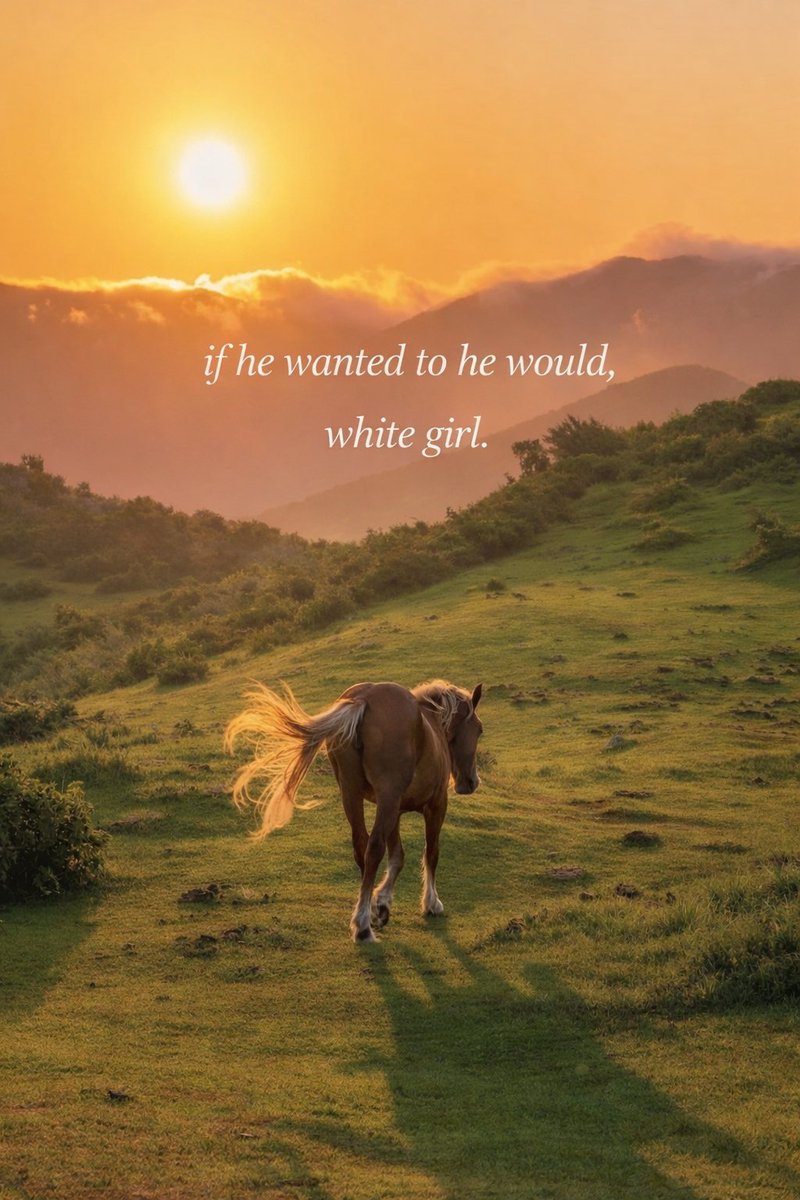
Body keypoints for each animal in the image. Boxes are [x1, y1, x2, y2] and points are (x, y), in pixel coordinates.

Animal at [224, 679, 483, 942]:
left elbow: (397, 856)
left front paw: (381, 904)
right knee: (374, 847)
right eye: (479, 730)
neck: (431, 724)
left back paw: (365, 912)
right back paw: (362, 926)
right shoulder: (434, 805)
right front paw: (431, 903)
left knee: (362, 847)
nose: (471, 781)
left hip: (351, 793)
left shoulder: (396, 810)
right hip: (386, 797)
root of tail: (363, 699)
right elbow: (430, 853)